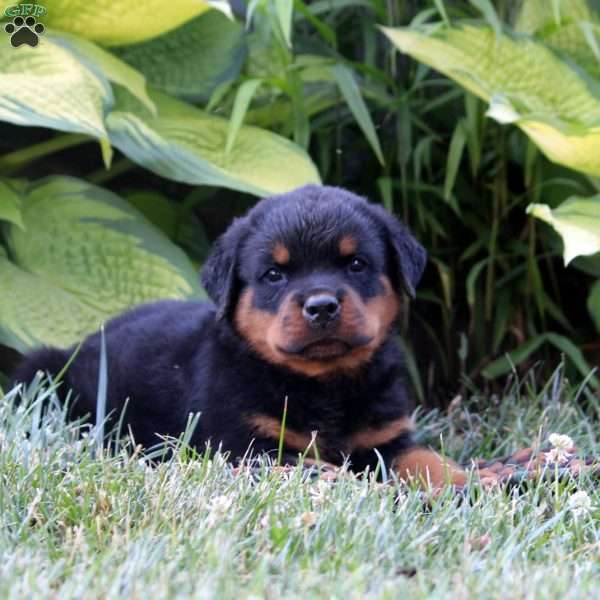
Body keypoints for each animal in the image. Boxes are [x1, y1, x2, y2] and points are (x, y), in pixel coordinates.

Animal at [11, 186, 466, 488]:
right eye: (274, 274)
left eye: (356, 264)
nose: (321, 306)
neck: (323, 385)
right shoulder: (247, 445)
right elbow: (316, 468)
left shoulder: (387, 438)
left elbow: (426, 458)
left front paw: (467, 483)